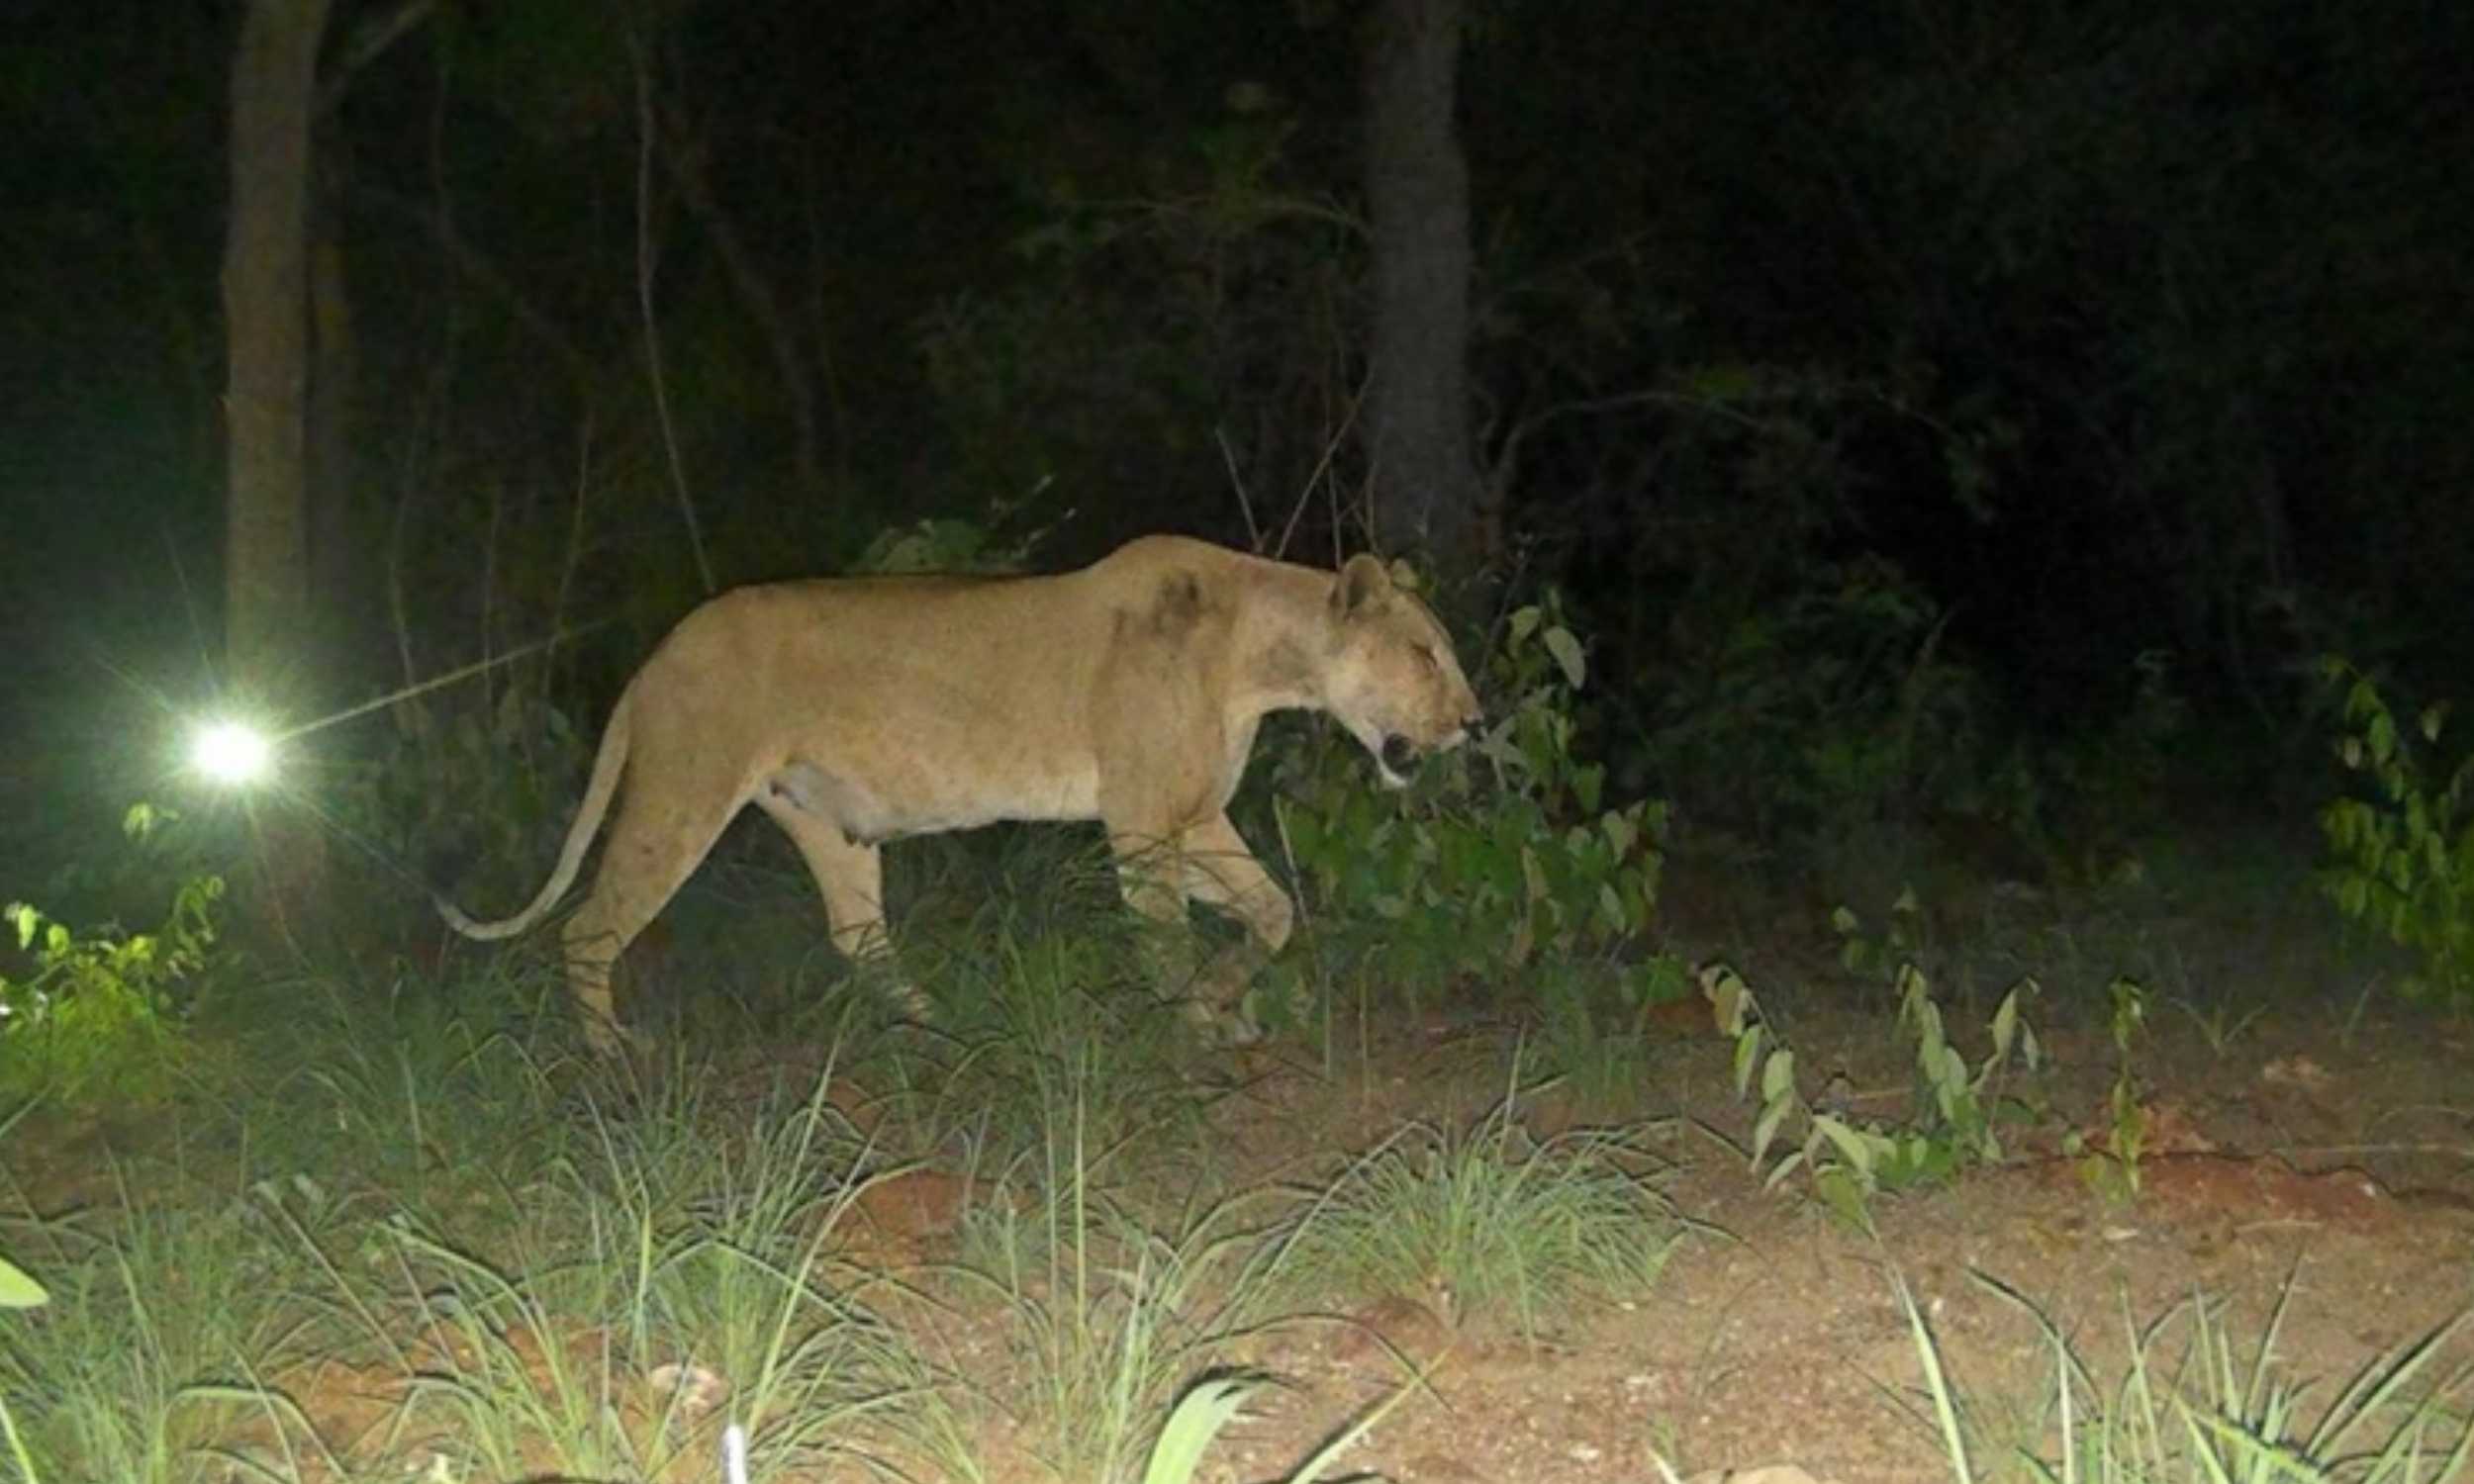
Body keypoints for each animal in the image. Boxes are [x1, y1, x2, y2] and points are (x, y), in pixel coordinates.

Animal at [437, 535, 1483, 1053]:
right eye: (1425, 653)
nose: (1474, 723)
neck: (1264, 659)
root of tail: (657, 655)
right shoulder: (1143, 822)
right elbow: (1166, 938)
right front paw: (1194, 1027)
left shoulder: (1193, 815)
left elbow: (1272, 910)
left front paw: (1229, 1006)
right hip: (681, 794)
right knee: (588, 930)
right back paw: (612, 1058)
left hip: (826, 825)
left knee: (859, 939)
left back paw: (951, 1030)